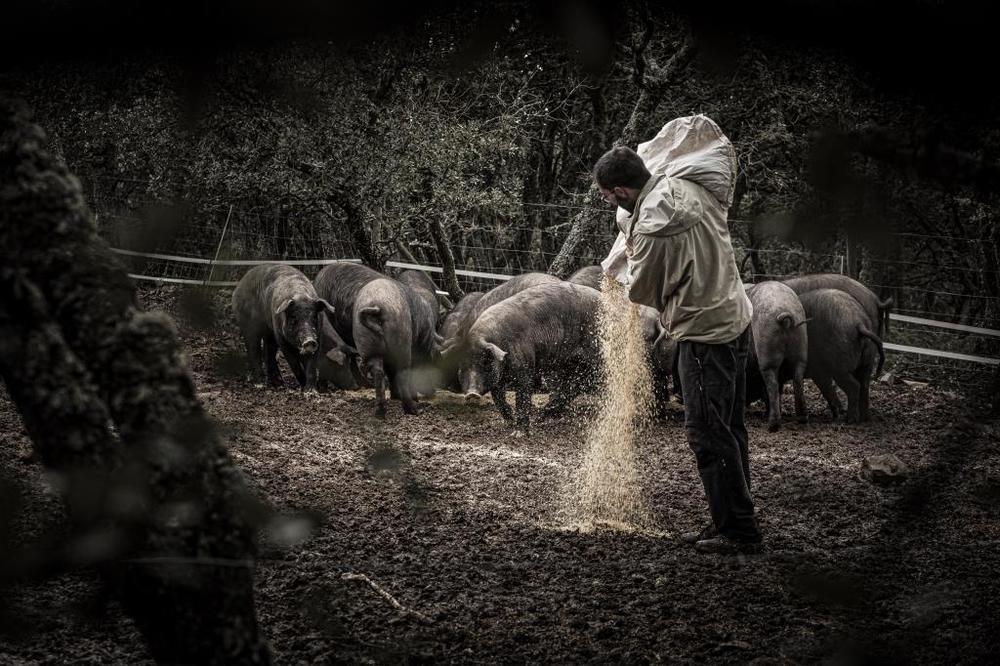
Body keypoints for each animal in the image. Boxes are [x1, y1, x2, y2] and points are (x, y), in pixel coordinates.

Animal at [354, 274, 436, 416]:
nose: (433, 393)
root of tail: (375, 306)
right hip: (402, 341)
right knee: (403, 373)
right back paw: (413, 410)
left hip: (367, 344)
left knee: (379, 373)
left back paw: (380, 412)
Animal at [446, 280, 600, 436]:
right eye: (462, 366)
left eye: (485, 362)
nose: (472, 394)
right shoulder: (498, 380)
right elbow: (498, 398)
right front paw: (509, 422)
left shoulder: (525, 368)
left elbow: (522, 398)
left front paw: (518, 433)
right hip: (568, 366)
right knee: (571, 389)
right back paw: (541, 418)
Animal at [748, 280, 808, 430]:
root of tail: (785, 311)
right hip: (800, 347)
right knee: (798, 379)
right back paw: (802, 418)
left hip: (767, 352)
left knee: (772, 385)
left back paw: (772, 425)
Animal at [796, 286, 884, 420]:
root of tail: (859, 322)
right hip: (868, 358)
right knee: (864, 385)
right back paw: (864, 419)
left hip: (838, 363)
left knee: (854, 386)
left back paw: (849, 419)